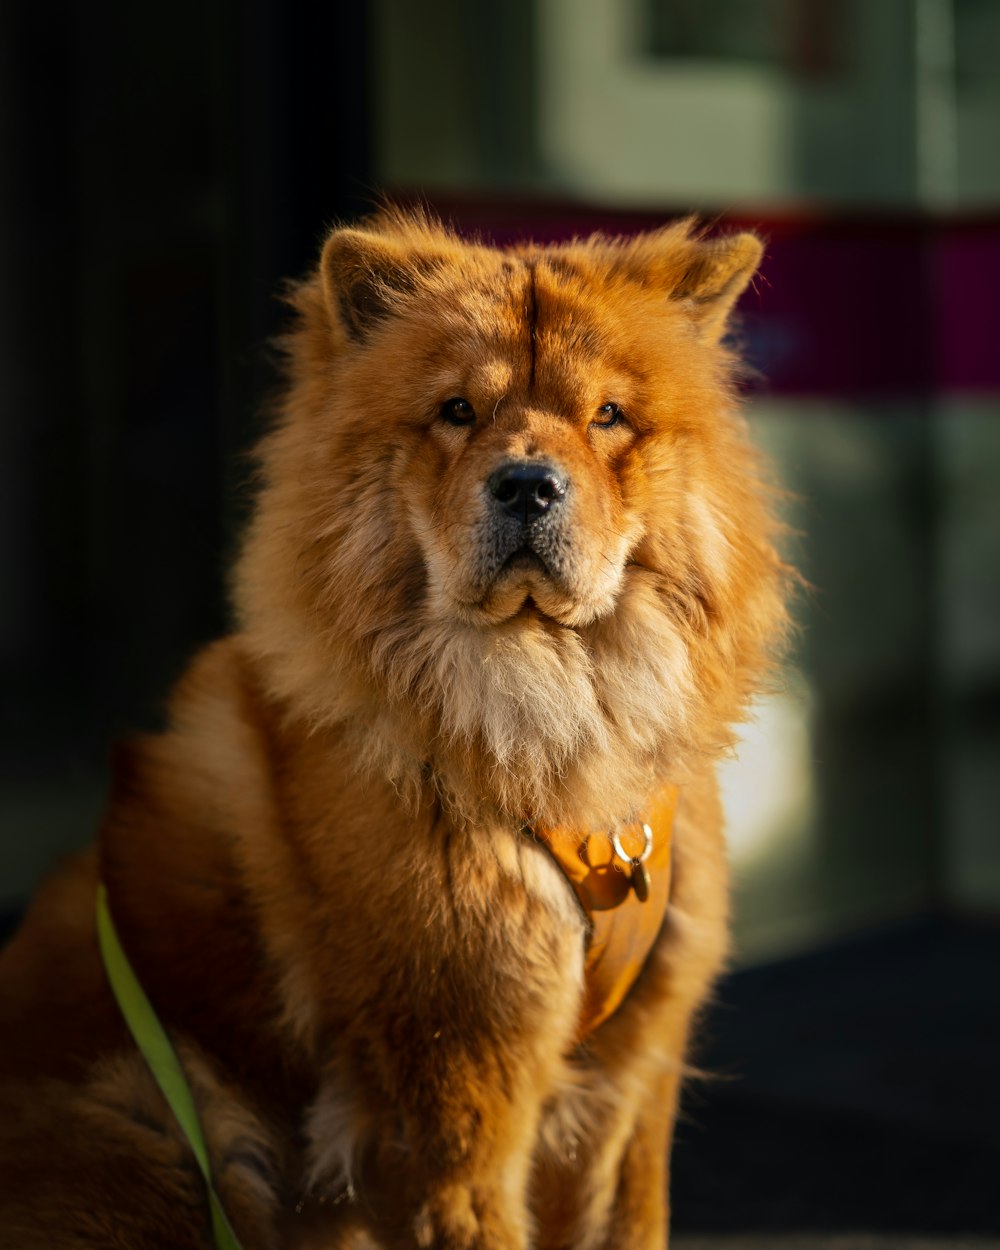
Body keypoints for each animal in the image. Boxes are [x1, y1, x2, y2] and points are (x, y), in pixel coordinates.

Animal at [0, 210, 790, 1245]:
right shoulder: (456, 1084)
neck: (551, 721)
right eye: (458, 411)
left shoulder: (633, 1078)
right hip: (165, 1118)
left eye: (607, 417)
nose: (528, 485)